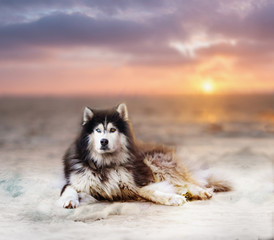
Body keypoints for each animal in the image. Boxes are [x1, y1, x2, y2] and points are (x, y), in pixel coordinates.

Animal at [58, 103, 230, 208]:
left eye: (113, 130)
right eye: (98, 130)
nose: (104, 141)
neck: (105, 164)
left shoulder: (136, 182)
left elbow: (150, 191)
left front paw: (172, 198)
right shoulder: (77, 181)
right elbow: (69, 190)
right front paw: (68, 201)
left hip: (155, 163)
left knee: (185, 182)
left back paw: (200, 191)